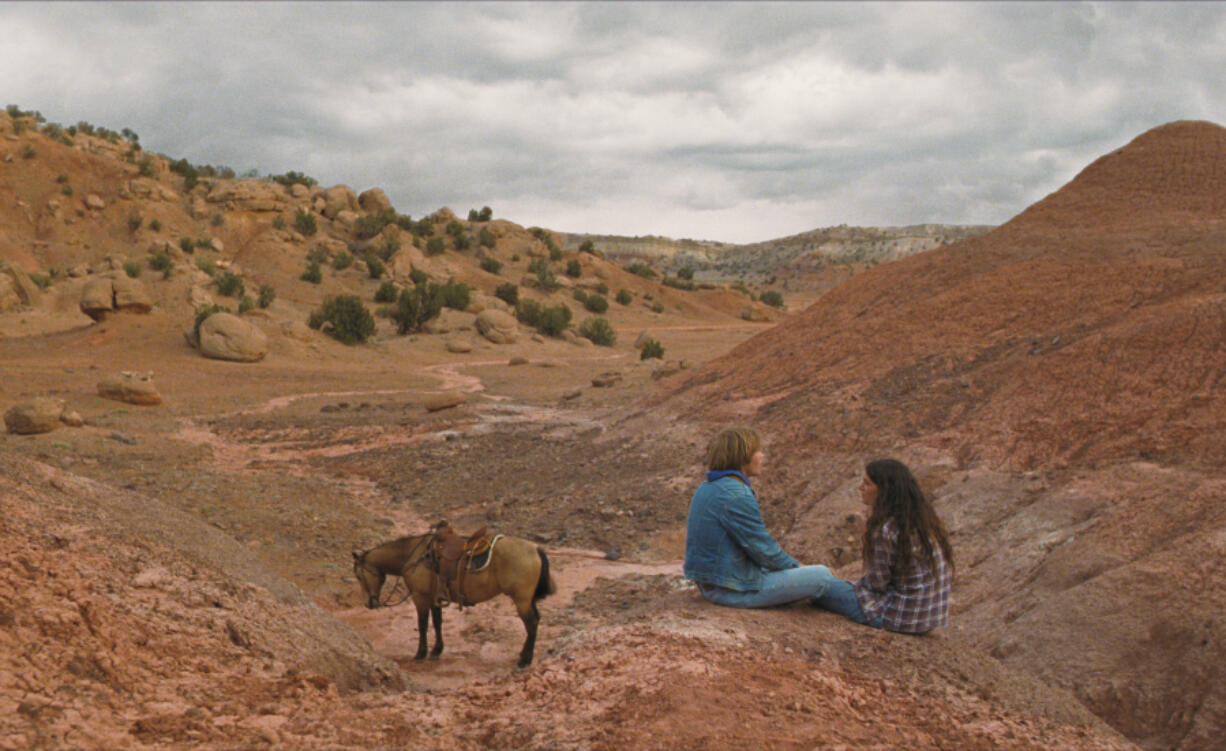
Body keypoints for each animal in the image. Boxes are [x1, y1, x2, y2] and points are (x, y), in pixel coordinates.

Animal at [348, 524, 554, 666]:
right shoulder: (435, 598)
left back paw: (525, 660)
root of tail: (535, 548)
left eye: (358, 575)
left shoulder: (420, 597)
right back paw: (524, 656)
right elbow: (438, 623)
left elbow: (422, 625)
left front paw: (420, 654)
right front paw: (436, 650)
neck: (413, 556)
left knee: (531, 624)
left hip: (521, 600)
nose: (369, 603)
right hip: (528, 600)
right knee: (535, 621)